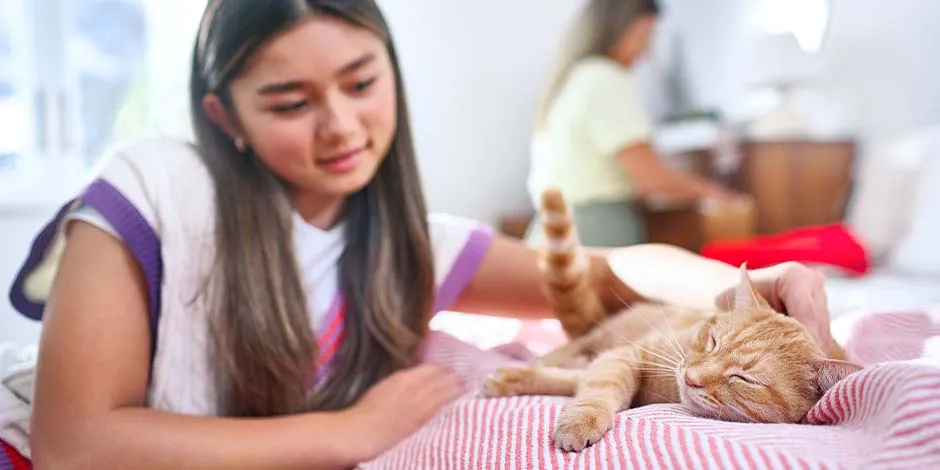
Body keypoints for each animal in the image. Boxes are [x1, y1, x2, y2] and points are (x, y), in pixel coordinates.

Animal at [488, 187, 864, 452]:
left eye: (744, 379)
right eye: (713, 343)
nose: (692, 377)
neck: (665, 389)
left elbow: (588, 382)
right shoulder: (629, 354)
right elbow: (600, 388)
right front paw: (582, 418)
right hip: (588, 344)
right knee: (564, 362)